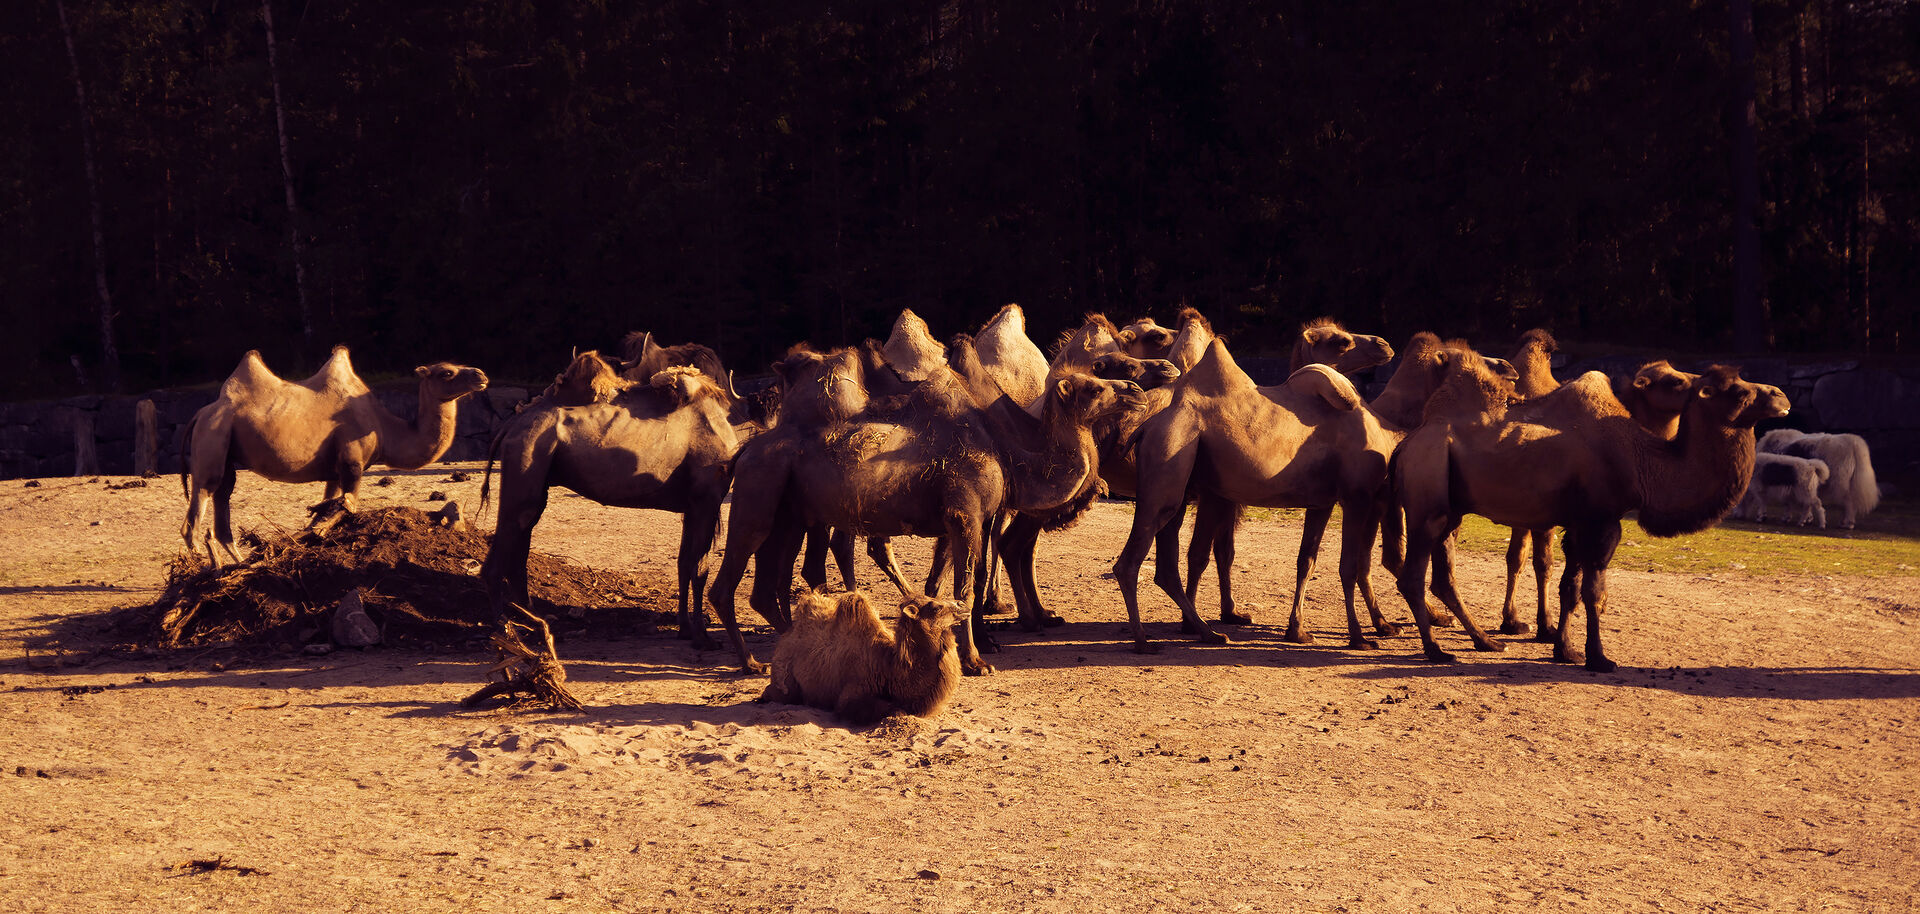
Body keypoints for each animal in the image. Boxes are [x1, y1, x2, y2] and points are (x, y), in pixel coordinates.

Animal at [181, 346, 488, 564]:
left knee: (223, 502)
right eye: (446, 372)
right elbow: (347, 506)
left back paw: (237, 564)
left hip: (225, 449)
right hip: (213, 436)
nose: (481, 375)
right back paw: (201, 567)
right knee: (198, 508)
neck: (384, 427)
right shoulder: (353, 462)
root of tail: (199, 413)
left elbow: (325, 509)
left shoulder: (335, 470)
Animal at [480, 357, 739, 647]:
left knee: (520, 543)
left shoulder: (691, 507)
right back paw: (504, 627)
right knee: (503, 549)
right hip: (525, 462)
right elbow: (699, 568)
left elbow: (683, 563)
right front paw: (702, 637)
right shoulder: (707, 500)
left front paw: (685, 629)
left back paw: (534, 620)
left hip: (537, 478)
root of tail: (510, 426)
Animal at [709, 367, 1145, 674]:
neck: (1008, 458)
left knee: (768, 585)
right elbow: (964, 590)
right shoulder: (965, 513)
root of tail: (745, 450)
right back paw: (752, 663)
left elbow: (956, 583)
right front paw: (975, 662)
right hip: (758, 495)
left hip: (790, 515)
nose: (1136, 390)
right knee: (728, 581)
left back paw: (795, 644)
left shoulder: (965, 521)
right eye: (1093, 387)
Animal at [1392, 356, 1789, 671]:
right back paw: (1437, 651)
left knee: (1443, 579)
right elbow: (1595, 592)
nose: (1781, 397)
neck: (1641, 459)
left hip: (1452, 511)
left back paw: (1487, 642)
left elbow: (1570, 587)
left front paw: (1564, 649)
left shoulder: (1578, 523)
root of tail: (1407, 444)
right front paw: (1599, 658)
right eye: (1737, 392)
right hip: (1427, 504)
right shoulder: (1603, 521)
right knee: (1412, 577)